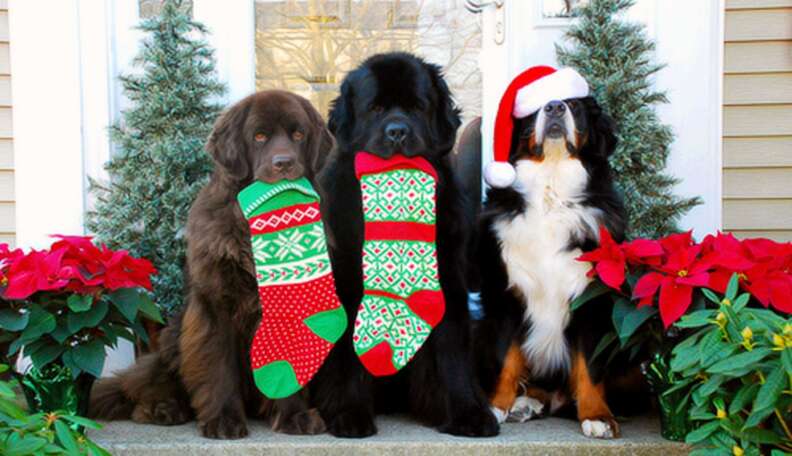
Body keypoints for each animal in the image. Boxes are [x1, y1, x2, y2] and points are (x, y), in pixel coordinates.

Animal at [90, 91, 334, 438]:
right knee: (147, 383)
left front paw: (295, 416)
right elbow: (217, 365)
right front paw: (223, 421)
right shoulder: (214, 305)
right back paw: (163, 408)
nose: (284, 163)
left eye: (298, 134)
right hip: (173, 337)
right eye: (259, 136)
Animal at [312, 52, 498, 438]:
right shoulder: (350, 287)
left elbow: (453, 354)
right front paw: (350, 414)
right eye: (376, 109)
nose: (397, 131)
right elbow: (350, 356)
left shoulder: (449, 284)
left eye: (416, 107)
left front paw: (468, 413)